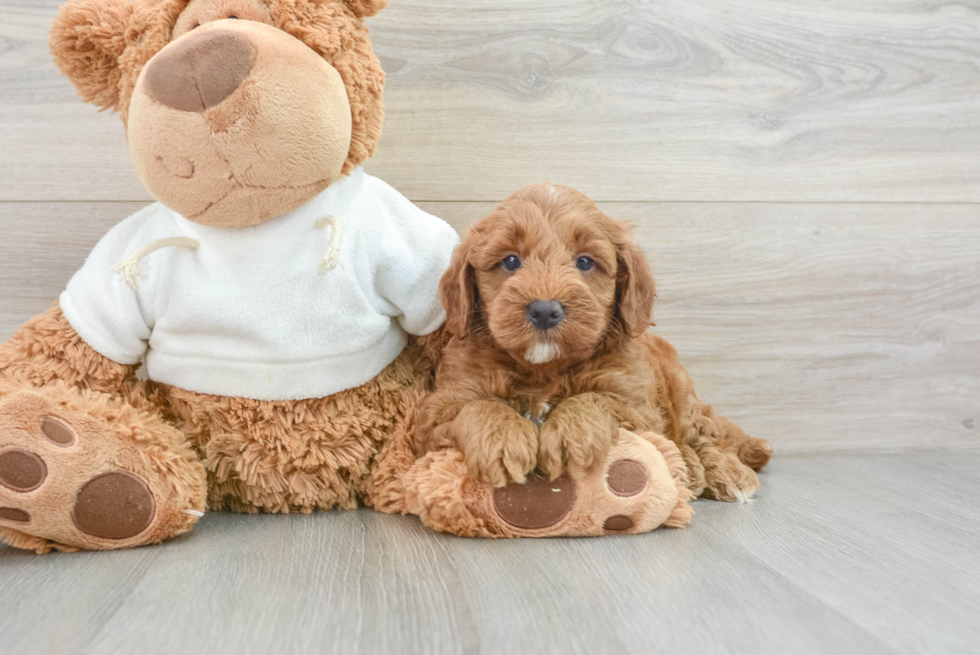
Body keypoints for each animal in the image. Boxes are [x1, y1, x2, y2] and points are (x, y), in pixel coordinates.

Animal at [418, 184, 768, 502]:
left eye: (585, 262)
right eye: (511, 261)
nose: (545, 310)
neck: (544, 370)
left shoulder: (638, 407)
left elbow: (596, 398)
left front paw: (572, 434)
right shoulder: (441, 409)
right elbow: (478, 406)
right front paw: (503, 438)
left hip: (681, 388)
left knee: (702, 434)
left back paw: (722, 471)